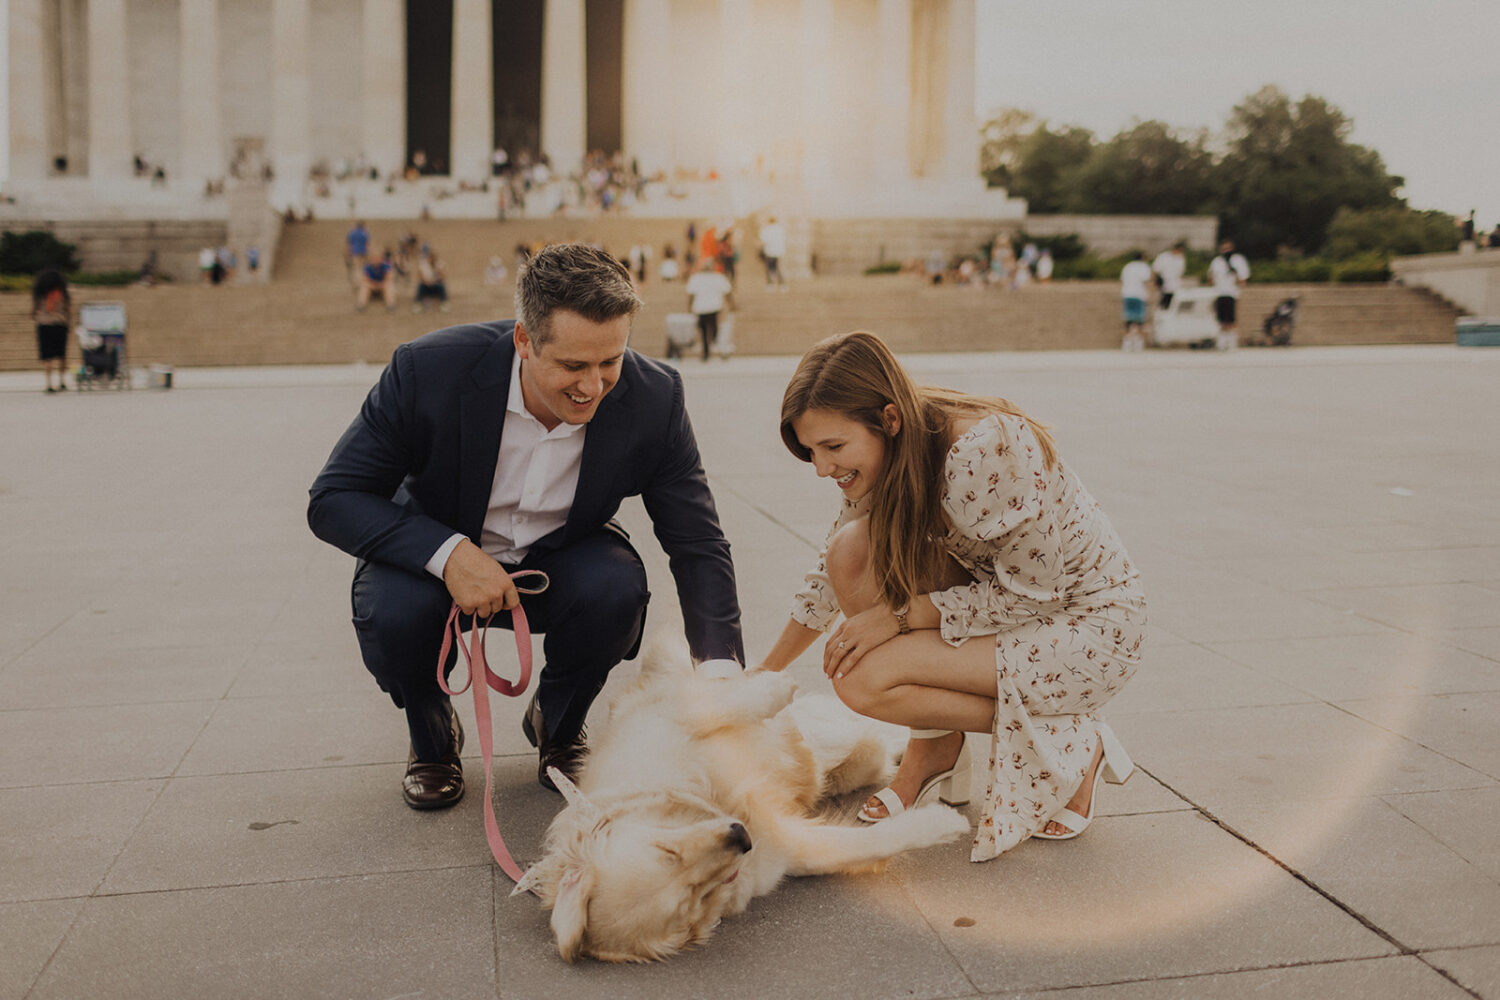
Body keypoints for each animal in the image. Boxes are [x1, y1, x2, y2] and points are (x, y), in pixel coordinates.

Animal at [516, 641, 972, 959]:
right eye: (691, 896)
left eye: (666, 849)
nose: (741, 837)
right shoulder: (792, 849)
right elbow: (873, 843)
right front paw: (941, 825)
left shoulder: (670, 715)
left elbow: (720, 703)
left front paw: (774, 684)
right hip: (852, 762)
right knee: (878, 746)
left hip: (832, 736)